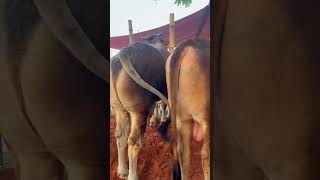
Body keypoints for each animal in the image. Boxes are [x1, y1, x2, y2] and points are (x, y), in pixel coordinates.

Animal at [110, 34, 170, 179]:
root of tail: (125, 51)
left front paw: (154, 121)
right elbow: (163, 104)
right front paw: (162, 120)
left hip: (120, 109)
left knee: (120, 135)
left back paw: (122, 170)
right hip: (139, 112)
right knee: (134, 142)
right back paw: (132, 175)